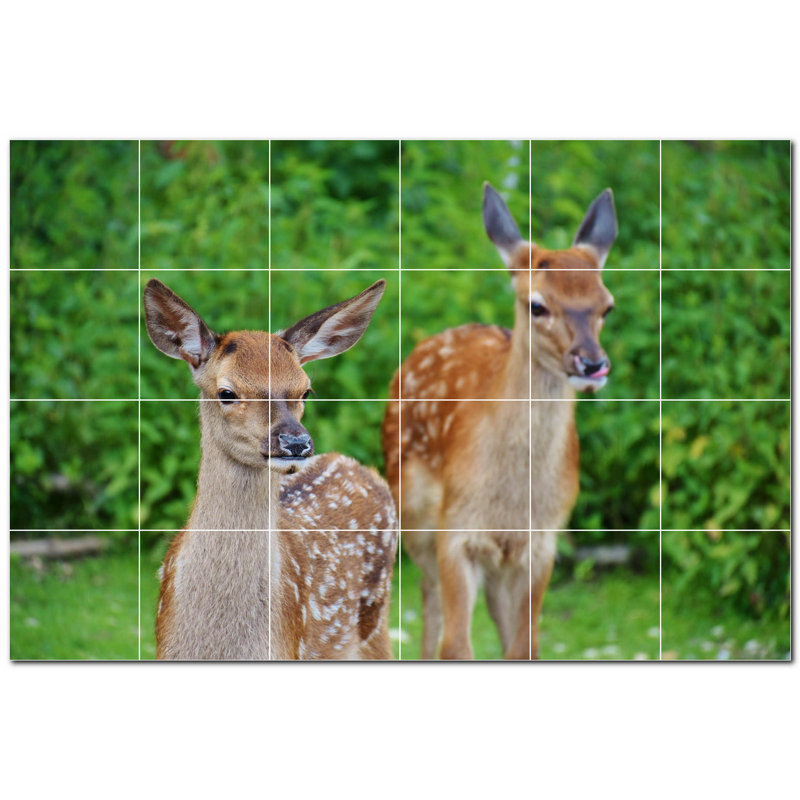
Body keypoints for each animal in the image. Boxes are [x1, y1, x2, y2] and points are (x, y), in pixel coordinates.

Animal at [382, 183, 617, 660]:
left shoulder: (543, 540)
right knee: (429, 600)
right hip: (413, 512)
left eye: (607, 306)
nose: (591, 363)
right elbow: (456, 646)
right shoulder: (456, 530)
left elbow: (525, 646)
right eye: (537, 305)